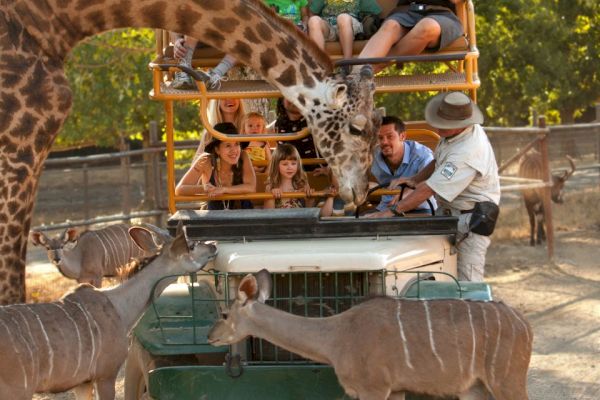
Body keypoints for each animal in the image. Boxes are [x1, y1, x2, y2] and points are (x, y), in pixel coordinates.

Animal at [30, 222, 170, 288]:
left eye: (62, 246)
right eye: (48, 247)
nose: (57, 259)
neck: (80, 256)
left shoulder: (98, 277)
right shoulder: (81, 280)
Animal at [210, 268, 536, 400]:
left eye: (224, 314)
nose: (211, 336)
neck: (337, 336)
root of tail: (524, 323)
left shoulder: (374, 388)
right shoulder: (396, 389)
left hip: (506, 380)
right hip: (474, 387)